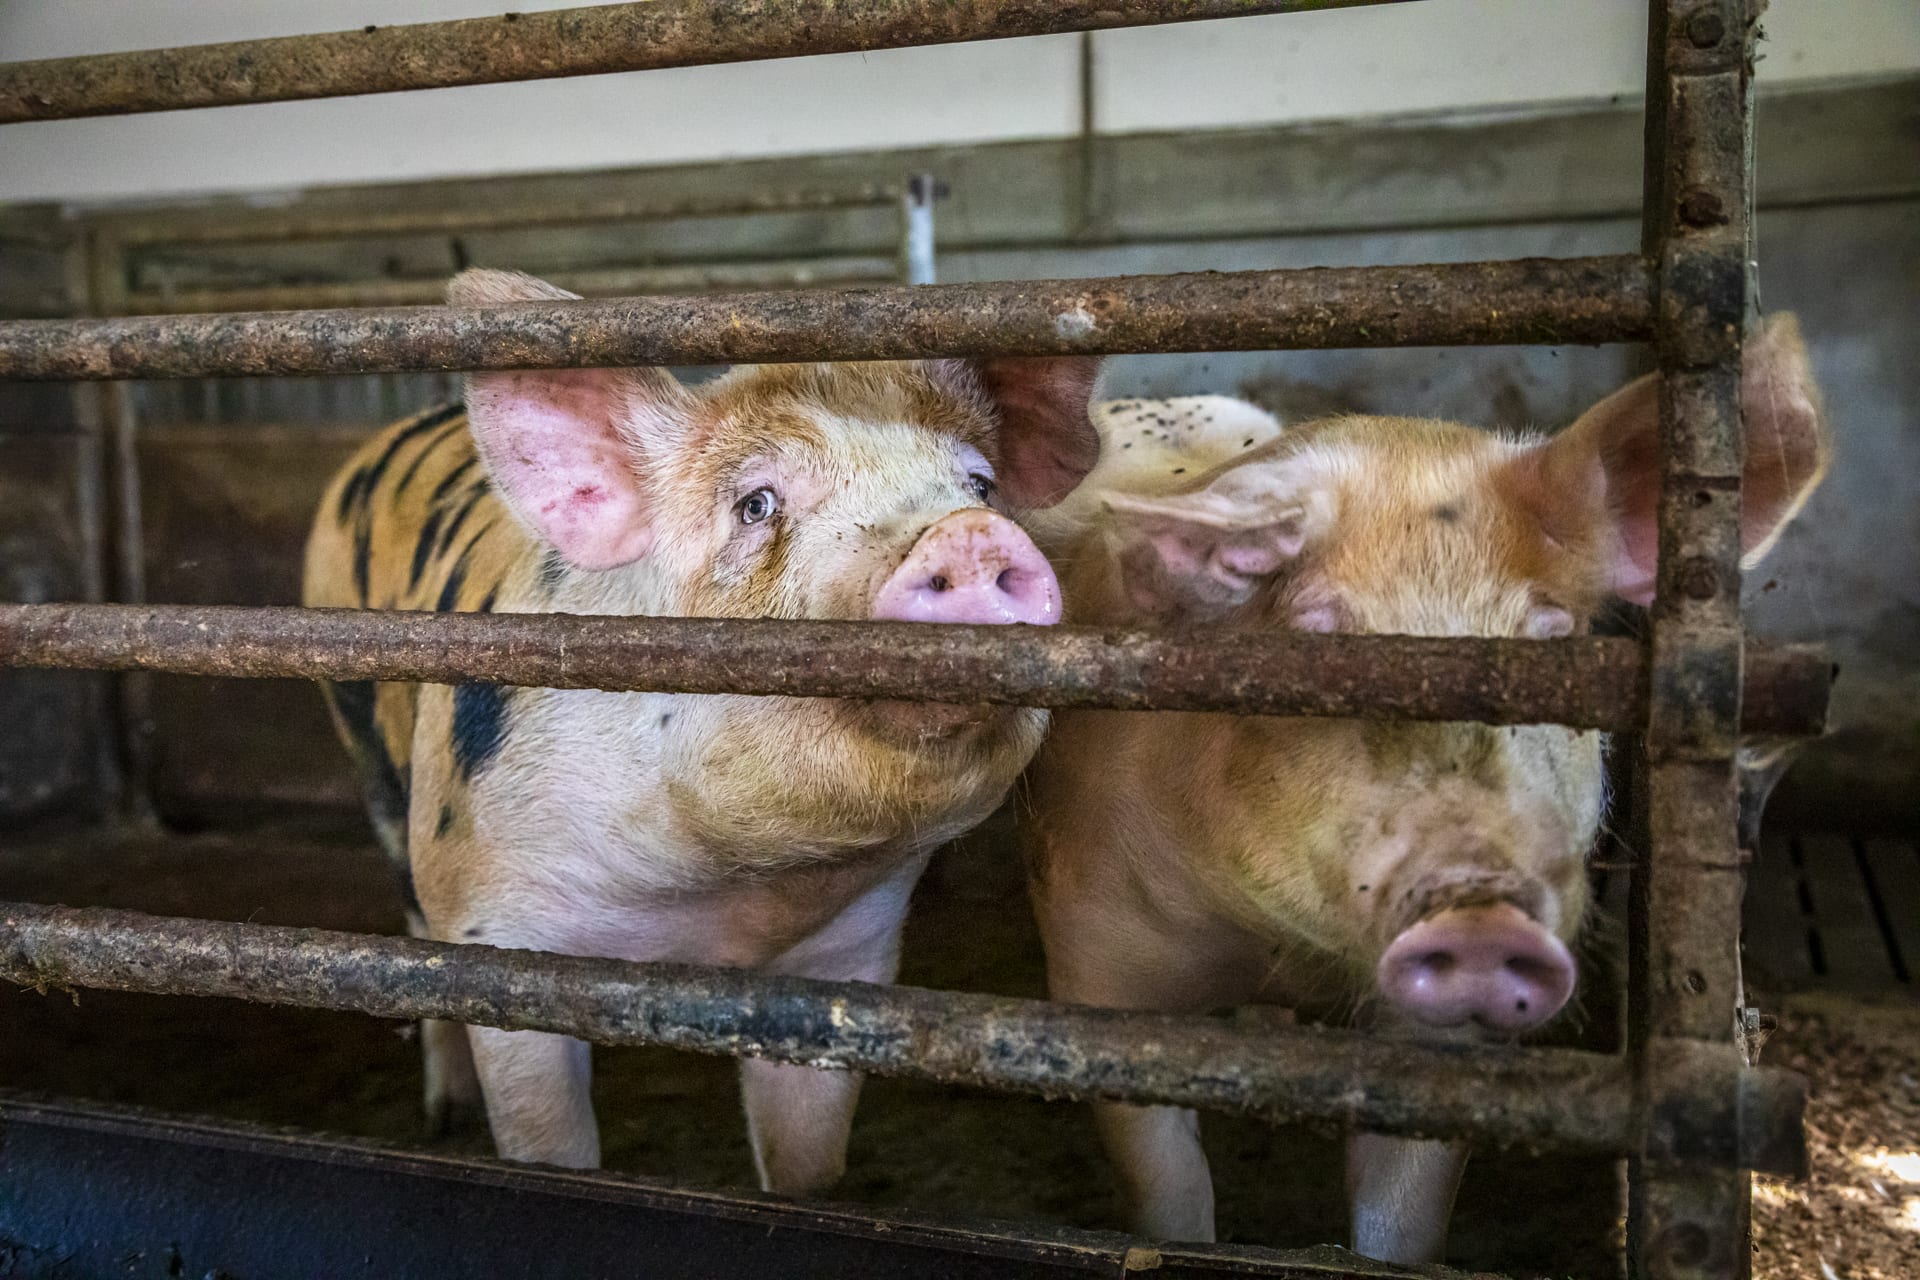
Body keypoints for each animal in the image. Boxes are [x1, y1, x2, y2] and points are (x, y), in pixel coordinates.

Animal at [303, 268, 1101, 1189]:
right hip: (368, 754)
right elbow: (548, 1143)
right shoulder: (496, 924)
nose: (970, 535)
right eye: (756, 504)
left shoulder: (846, 958)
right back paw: (445, 1116)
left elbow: (804, 1163)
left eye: (979, 485)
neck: (714, 902)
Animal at [1024, 315, 1828, 1264]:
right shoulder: (1098, 955)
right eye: (1316, 640)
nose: (1480, 915)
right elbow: (1168, 1193)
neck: (1288, 946)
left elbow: (1401, 1211)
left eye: (1552, 644)